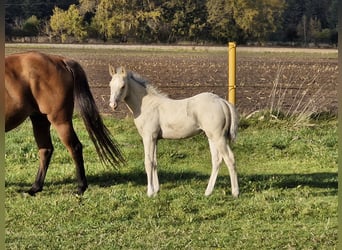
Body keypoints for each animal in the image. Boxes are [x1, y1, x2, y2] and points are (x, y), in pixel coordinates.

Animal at [5, 51, 125, 195]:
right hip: (40, 119)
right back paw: (35, 188)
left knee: (75, 147)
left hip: (60, 121)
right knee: (45, 150)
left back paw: (81, 187)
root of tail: (60, 60)